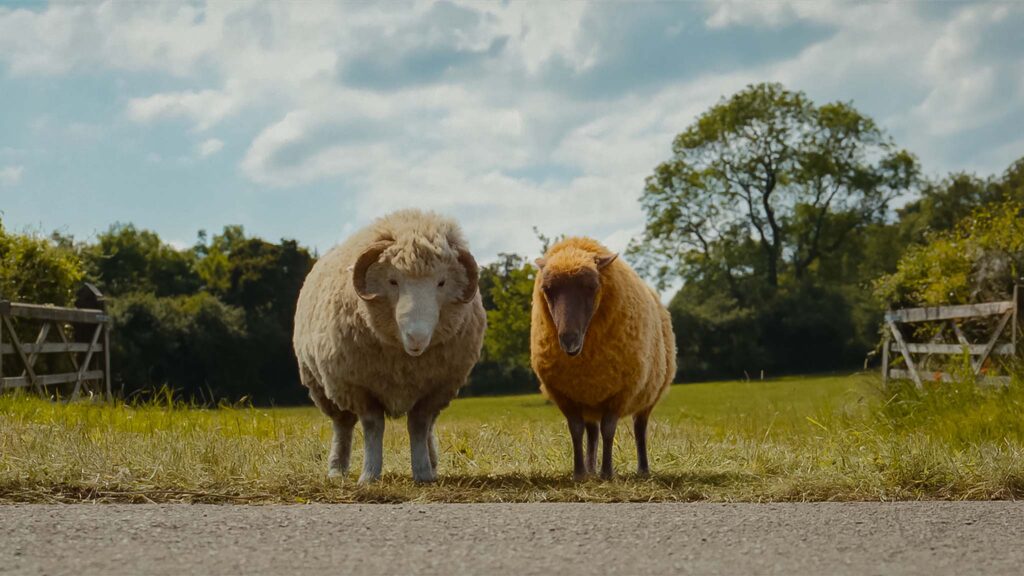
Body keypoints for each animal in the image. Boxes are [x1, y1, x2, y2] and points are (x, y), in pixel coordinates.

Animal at [292, 209, 486, 483]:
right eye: (393, 281)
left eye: (441, 283)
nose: (416, 337)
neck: (404, 361)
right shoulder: (359, 387)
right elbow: (374, 427)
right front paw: (370, 475)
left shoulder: (435, 389)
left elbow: (418, 425)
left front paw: (423, 472)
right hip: (323, 387)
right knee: (342, 425)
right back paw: (337, 469)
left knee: (428, 427)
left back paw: (432, 462)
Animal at [530, 236, 676, 480]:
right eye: (548, 290)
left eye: (591, 287)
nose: (569, 340)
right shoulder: (565, 395)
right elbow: (576, 430)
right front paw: (579, 473)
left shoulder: (620, 392)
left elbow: (608, 430)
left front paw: (607, 473)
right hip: (590, 398)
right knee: (591, 432)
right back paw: (590, 469)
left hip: (648, 395)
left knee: (639, 428)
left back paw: (643, 469)